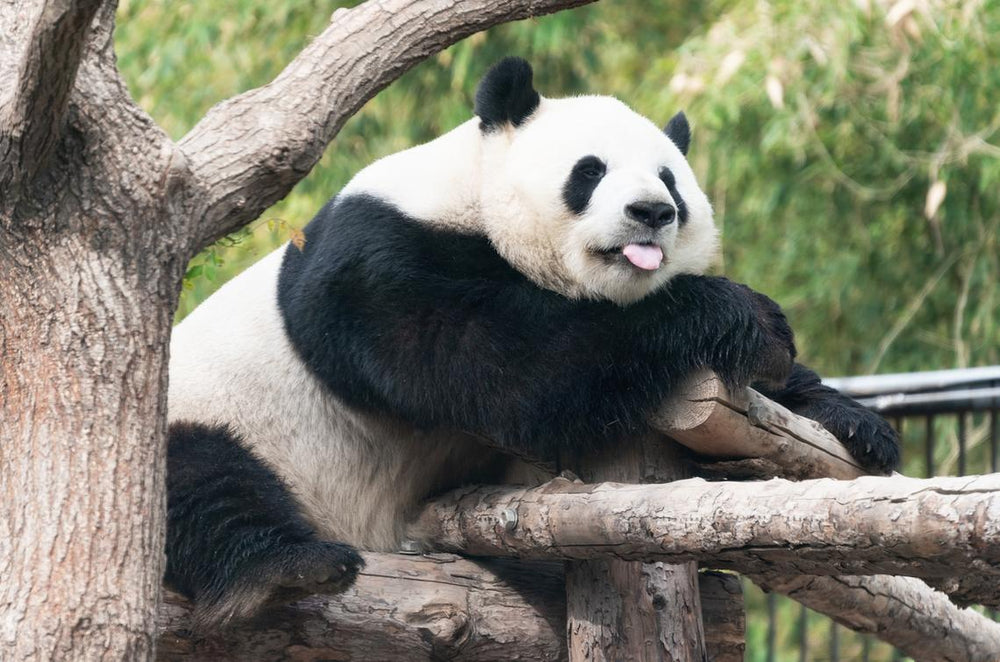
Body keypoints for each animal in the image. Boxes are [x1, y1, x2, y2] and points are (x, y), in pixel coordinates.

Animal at [166, 57, 900, 627]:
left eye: (670, 180)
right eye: (591, 170)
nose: (652, 212)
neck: (474, 198)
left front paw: (853, 421)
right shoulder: (377, 260)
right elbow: (501, 365)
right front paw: (741, 316)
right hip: (206, 416)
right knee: (198, 481)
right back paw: (284, 570)